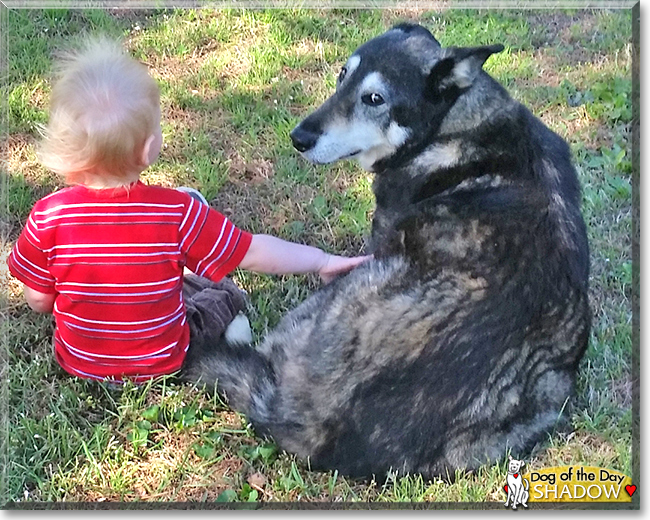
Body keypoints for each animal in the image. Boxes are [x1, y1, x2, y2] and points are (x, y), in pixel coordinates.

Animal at [182, 23, 588, 480]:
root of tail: (313, 430)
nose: (298, 138)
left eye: (375, 99)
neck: (451, 127)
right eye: (343, 75)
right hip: (547, 397)